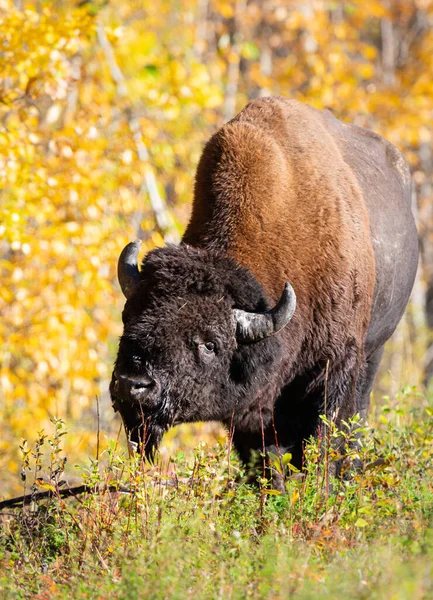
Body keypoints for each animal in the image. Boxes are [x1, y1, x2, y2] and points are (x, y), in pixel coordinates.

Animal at [109, 96, 416, 482]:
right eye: (128, 318)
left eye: (211, 344)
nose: (132, 384)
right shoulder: (254, 408)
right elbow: (266, 459)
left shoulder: (336, 364)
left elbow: (324, 440)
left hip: (375, 350)